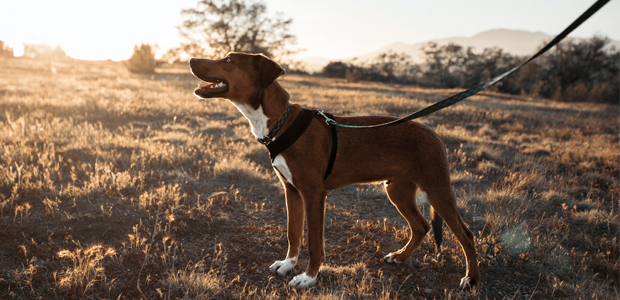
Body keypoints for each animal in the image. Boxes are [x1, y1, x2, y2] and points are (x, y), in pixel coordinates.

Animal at [189, 52, 480, 290]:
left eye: (228, 60)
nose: (190, 60)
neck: (280, 122)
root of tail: (434, 134)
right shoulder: (291, 190)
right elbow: (293, 233)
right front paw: (287, 265)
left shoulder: (314, 194)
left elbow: (314, 242)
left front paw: (308, 278)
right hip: (398, 190)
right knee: (421, 226)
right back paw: (400, 257)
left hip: (437, 189)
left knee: (465, 235)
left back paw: (471, 279)